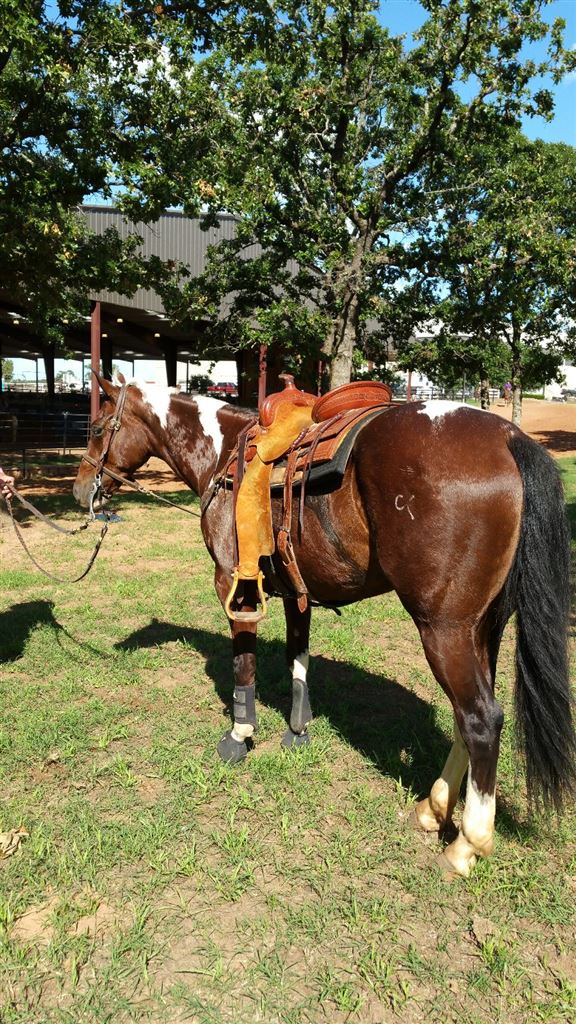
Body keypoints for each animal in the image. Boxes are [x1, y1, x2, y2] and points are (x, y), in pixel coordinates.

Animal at [73, 375, 575, 878]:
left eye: (96, 428)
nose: (81, 491)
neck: (222, 452)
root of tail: (508, 438)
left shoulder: (234, 586)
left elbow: (243, 666)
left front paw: (239, 735)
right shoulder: (297, 588)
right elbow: (298, 658)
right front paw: (297, 730)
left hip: (444, 629)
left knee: (481, 720)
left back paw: (467, 844)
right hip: (483, 628)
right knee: (463, 716)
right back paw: (434, 808)